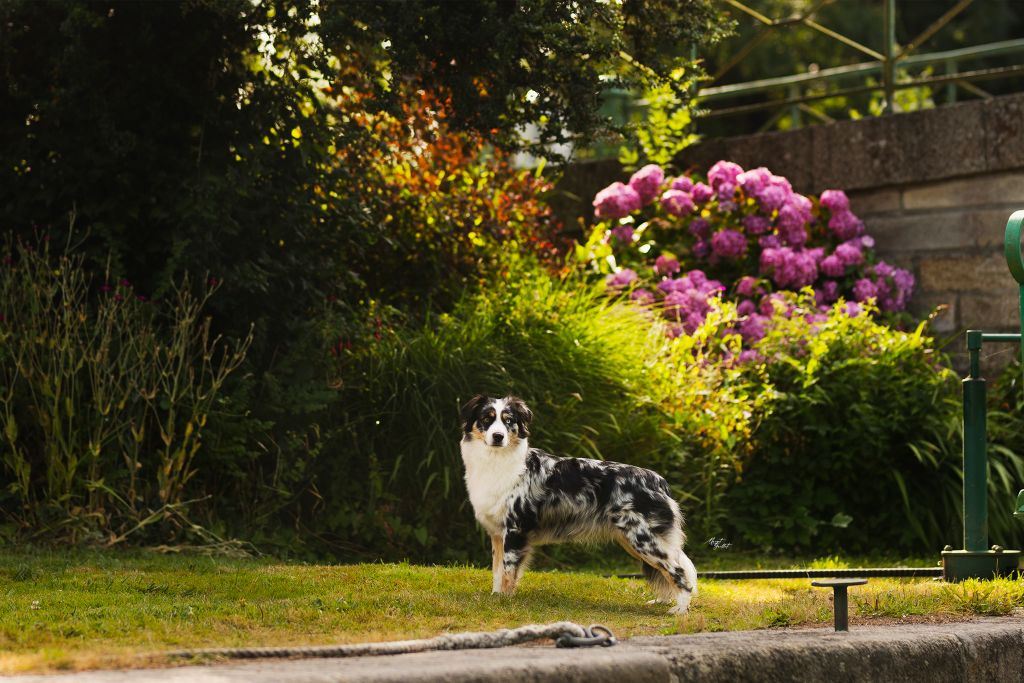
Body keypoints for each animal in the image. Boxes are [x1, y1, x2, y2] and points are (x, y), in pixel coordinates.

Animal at [462, 395, 696, 614]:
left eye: (508, 420)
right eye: (486, 419)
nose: (498, 436)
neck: (497, 460)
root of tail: (659, 481)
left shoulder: (515, 529)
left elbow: (508, 571)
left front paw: (505, 601)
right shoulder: (497, 533)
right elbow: (497, 571)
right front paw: (495, 598)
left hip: (643, 539)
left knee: (678, 571)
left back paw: (680, 609)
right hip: (635, 541)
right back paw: (663, 602)